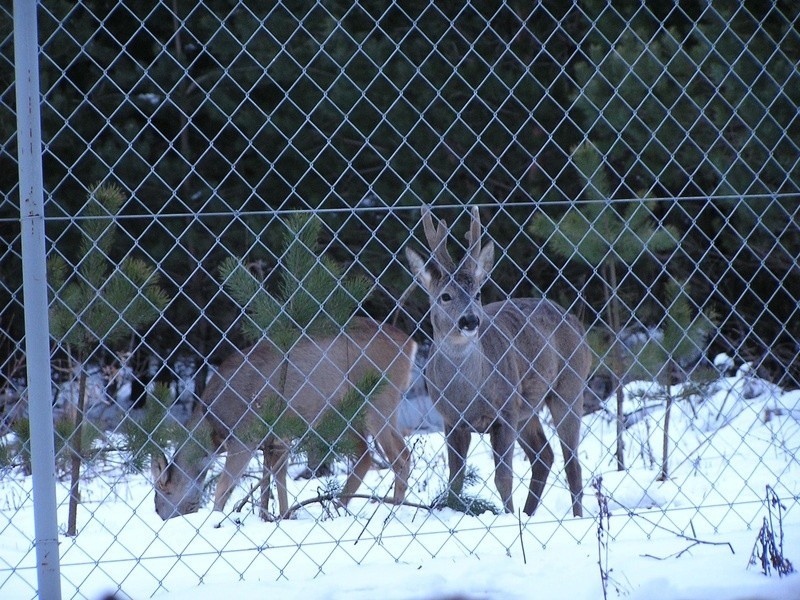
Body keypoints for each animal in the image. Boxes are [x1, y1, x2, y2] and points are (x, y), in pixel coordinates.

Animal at [150, 318, 416, 520]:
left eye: (158, 498)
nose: (163, 518)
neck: (213, 426)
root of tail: (410, 344)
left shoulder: (245, 434)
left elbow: (224, 486)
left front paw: (217, 520)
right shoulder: (276, 437)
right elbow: (273, 479)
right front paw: (280, 515)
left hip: (378, 401)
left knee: (400, 456)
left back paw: (392, 511)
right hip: (346, 413)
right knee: (365, 455)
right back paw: (338, 507)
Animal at [406, 206, 588, 516]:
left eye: (478, 293)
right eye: (445, 296)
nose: (470, 320)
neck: (469, 394)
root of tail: (575, 321)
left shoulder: (504, 414)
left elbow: (503, 477)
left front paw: (508, 516)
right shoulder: (451, 421)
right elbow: (456, 478)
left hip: (568, 386)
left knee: (571, 462)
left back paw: (574, 518)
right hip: (527, 406)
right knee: (544, 455)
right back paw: (529, 513)